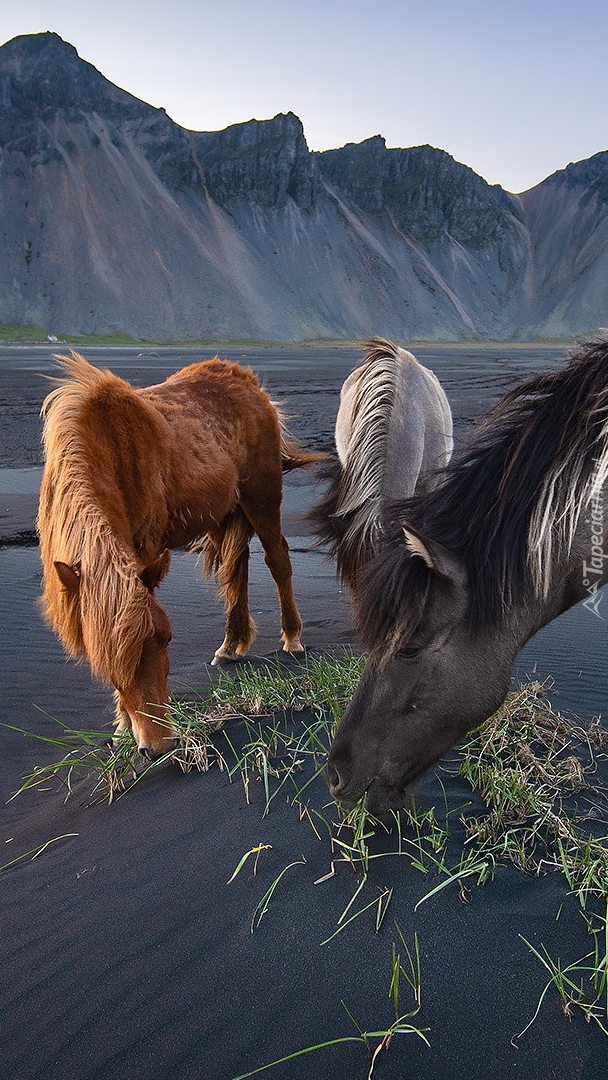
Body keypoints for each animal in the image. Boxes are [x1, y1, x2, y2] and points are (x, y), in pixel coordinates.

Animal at [38, 354, 321, 760]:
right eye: (104, 661)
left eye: (168, 639)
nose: (157, 745)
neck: (106, 449)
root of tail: (248, 383)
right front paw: (123, 728)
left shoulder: (144, 549)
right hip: (224, 511)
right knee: (238, 570)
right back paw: (231, 646)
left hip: (262, 497)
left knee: (277, 560)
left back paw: (292, 638)